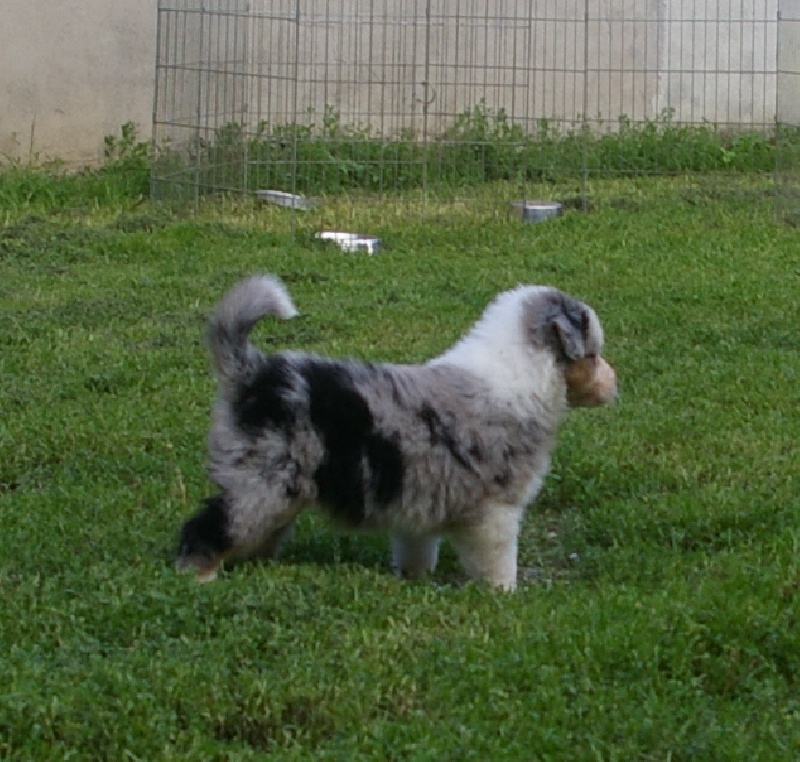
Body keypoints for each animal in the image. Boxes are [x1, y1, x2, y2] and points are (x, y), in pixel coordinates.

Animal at [175, 274, 617, 590]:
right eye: (593, 355)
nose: (615, 384)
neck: (522, 374)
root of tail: (251, 372)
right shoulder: (497, 510)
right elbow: (498, 560)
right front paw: (504, 594)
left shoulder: (417, 496)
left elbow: (416, 549)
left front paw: (414, 580)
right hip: (264, 481)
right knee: (213, 523)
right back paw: (199, 574)